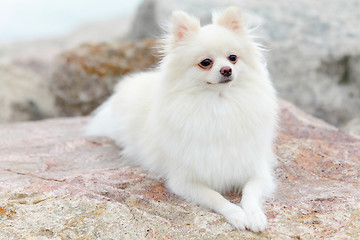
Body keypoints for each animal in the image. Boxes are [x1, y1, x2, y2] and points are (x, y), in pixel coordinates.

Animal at [86, 6, 278, 232]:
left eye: (233, 58)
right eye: (206, 62)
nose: (227, 70)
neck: (219, 103)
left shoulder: (258, 170)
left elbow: (250, 192)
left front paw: (255, 215)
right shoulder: (185, 181)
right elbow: (215, 197)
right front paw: (237, 215)